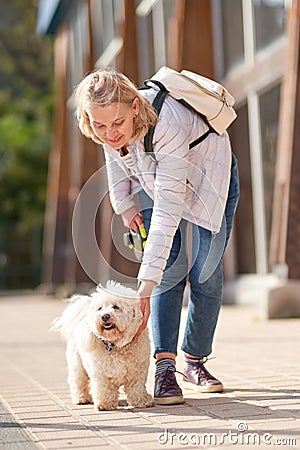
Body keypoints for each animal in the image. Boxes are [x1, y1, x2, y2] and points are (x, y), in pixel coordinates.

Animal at [51, 282, 152, 412]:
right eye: (100, 308)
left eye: (116, 307)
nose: (104, 316)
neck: (115, 346)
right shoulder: (100, 374)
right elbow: (104, 388)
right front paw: (105, 403)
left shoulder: (137, 372)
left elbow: (137, 387)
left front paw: (142, 401)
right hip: (77, 365)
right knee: (78, 381)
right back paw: (81, 398)